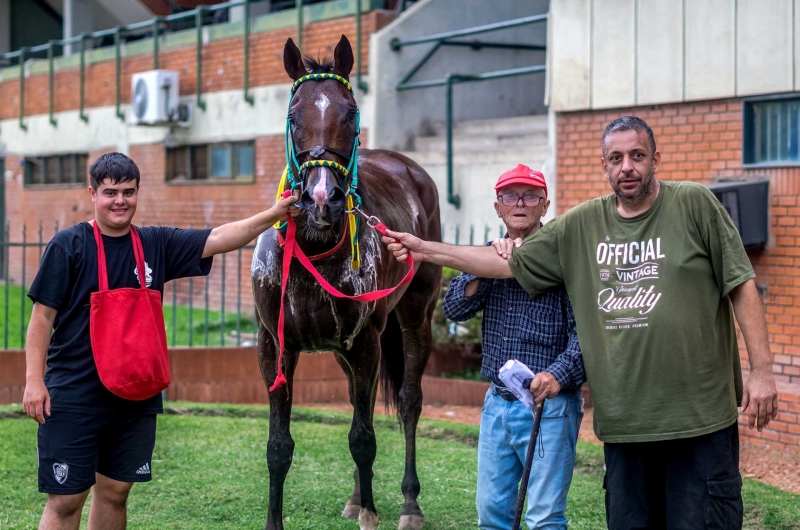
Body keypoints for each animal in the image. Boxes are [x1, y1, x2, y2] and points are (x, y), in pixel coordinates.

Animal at [252, 36, 444, 528]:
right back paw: (358, 497)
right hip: (345, 350)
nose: (322, 198)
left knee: (409, 402)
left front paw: (373, 514)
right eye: (293, 116)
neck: (315, 251)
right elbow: (278, 447)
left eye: (351, 113)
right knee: (366, 404)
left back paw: (409, 504)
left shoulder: (366, 341)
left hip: (414, 317)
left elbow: (363, 439)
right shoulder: (275, 345)